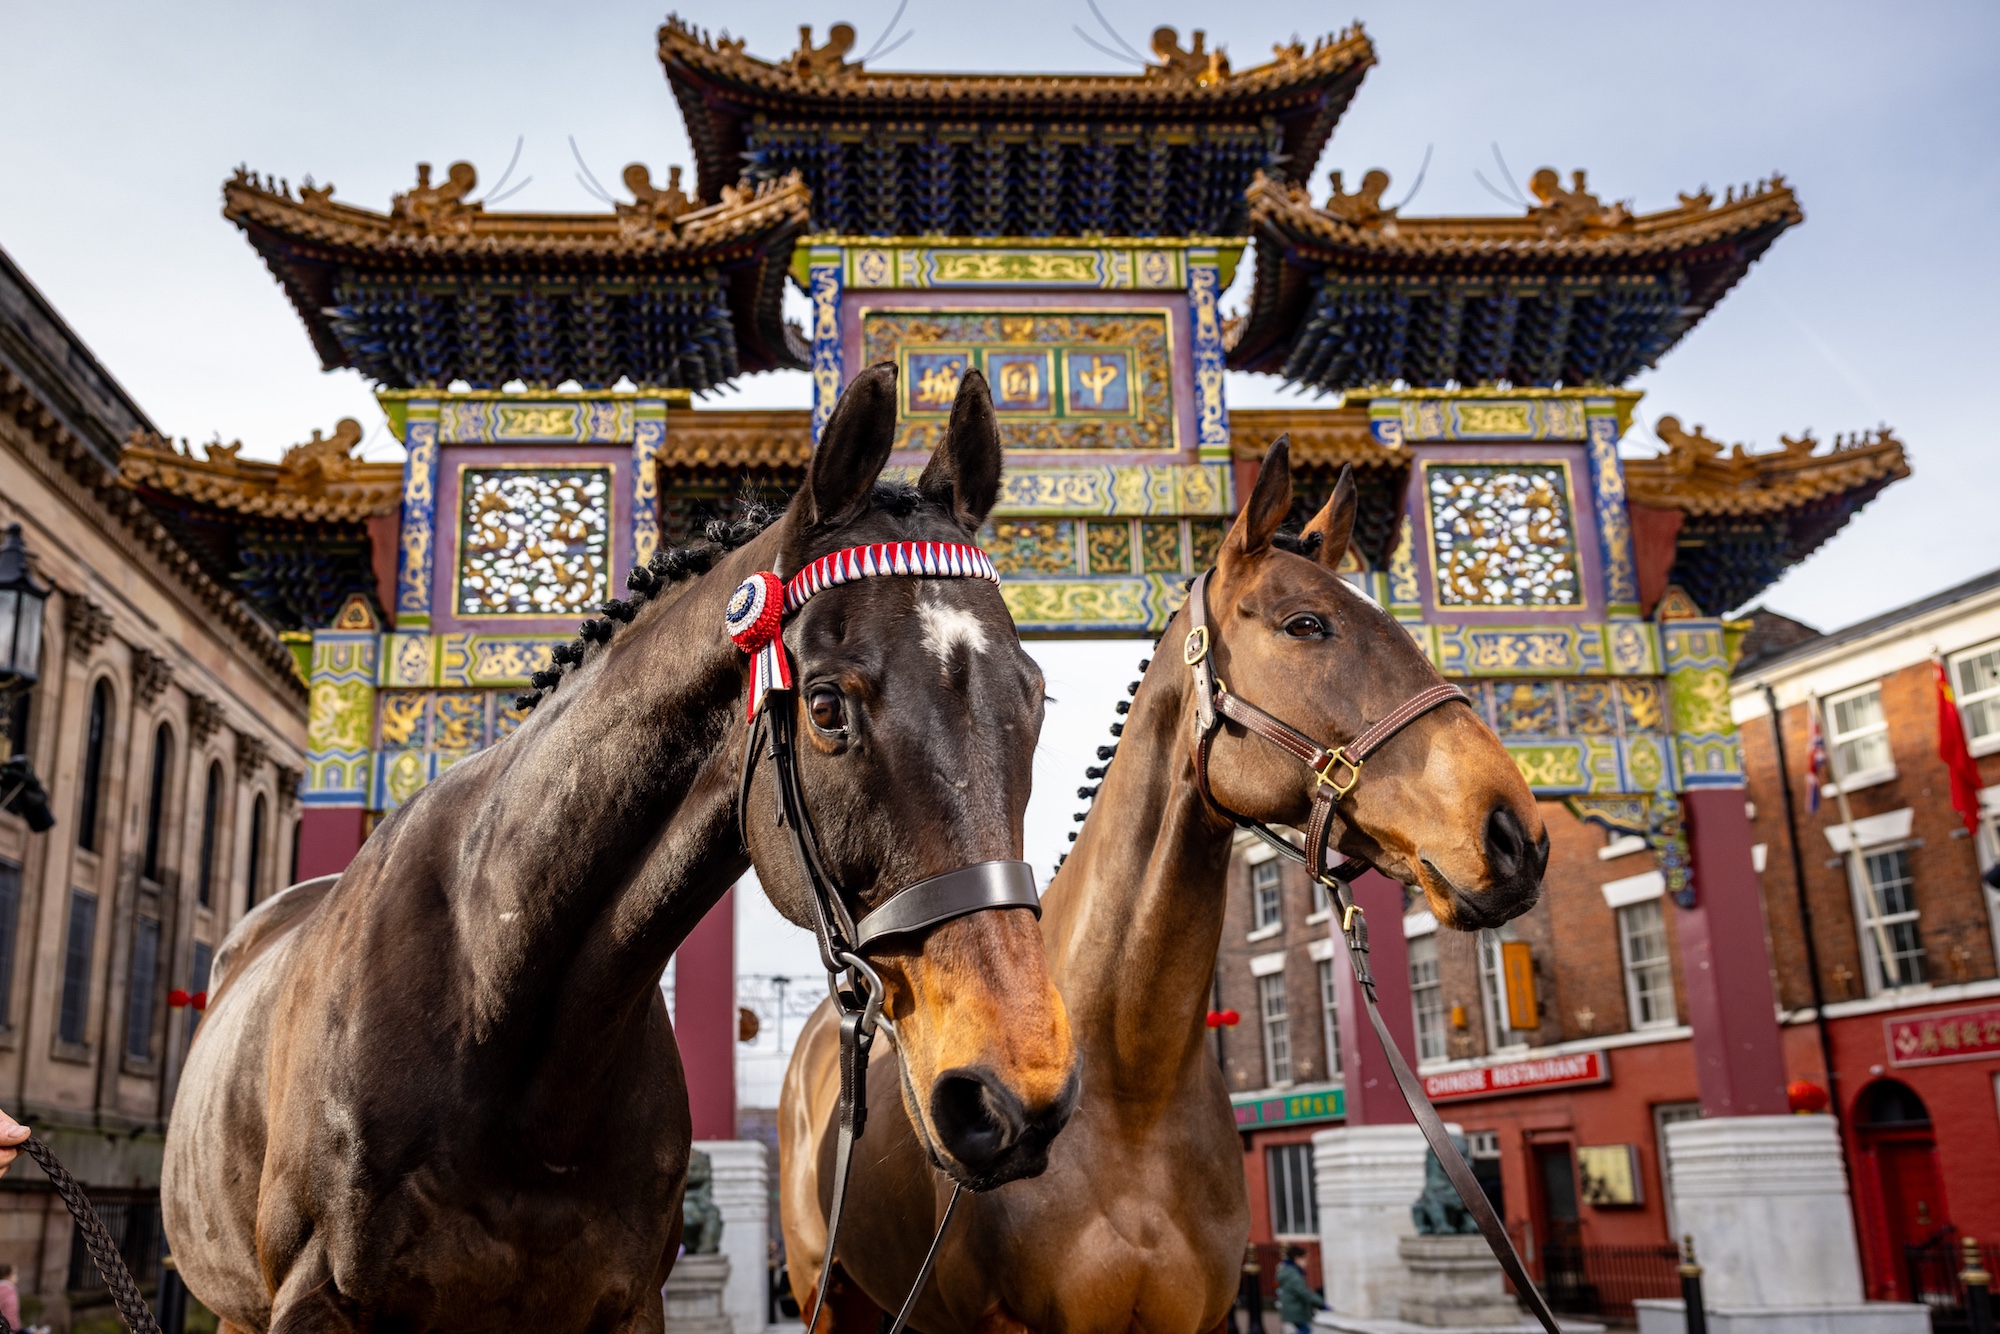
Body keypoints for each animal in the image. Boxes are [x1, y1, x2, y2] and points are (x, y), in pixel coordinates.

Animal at [162, 363, 1081, 1333]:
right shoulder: (314, 1298)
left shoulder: (627, 1299)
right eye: (827, 706)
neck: (506, 1017)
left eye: (1035, 697)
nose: (1013, 1088)